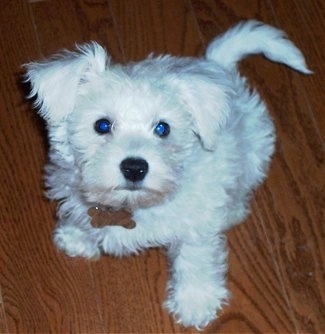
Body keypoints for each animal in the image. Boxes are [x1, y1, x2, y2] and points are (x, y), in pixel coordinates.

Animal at [24, 20, 308, 328]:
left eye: (163, 128)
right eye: (102, 125)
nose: (135, 167)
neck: (132, 205)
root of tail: (218, 66)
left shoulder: (196, 223)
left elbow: (195, 259)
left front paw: (195, 302)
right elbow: (81, 212)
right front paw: (77, 236)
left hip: (256, 151)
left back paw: (232, 210)